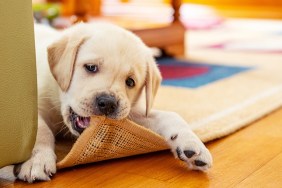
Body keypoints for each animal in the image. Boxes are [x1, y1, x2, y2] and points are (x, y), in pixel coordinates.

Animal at [0, 22, 212, 183]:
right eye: (91, 67)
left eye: (130, 82)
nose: (108, 103)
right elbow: (40, 131)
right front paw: (37, 160)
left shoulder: (129, 113)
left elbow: (171, 116)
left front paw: (192, 144)